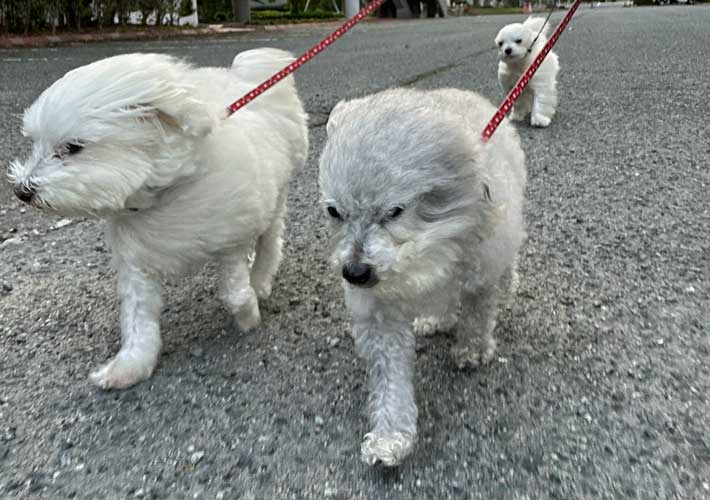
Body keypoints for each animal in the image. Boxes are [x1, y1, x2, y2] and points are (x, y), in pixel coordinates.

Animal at [8, 47, 308, 390]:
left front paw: (248, 317)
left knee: (271, 238)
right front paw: (129, 366)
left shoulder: (230, 239)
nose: (21, 190)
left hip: (277, 193)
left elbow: (233, 292)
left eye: (72, 148)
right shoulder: (137, 263)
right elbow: (139, 318)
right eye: (34, 143)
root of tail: (246, 77)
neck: (162, 195)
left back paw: (260, 279)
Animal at [322, 88, 528, 466]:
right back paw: (436, 319)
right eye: (334, 211)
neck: (429, 245)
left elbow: (477, 315)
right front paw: (391, 437)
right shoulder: (382, 316)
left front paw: (472, 350)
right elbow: (391, 380)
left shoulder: (479, 273)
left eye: (394, 211)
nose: (355, 273)